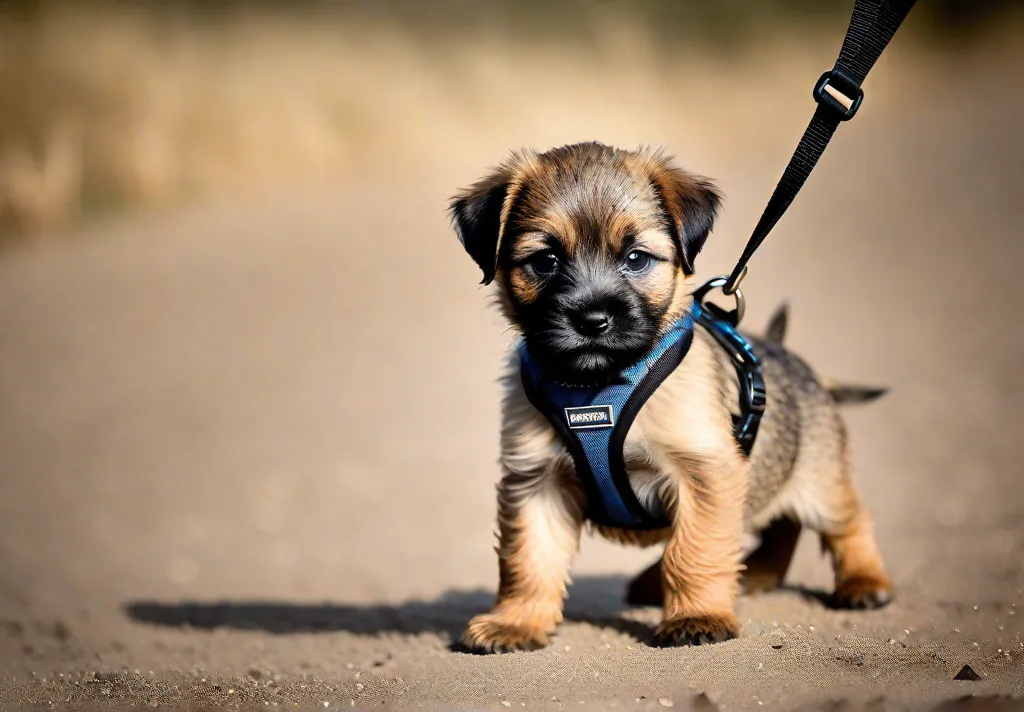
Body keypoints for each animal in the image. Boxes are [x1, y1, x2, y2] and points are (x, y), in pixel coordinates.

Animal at [446, 142, 888, 655]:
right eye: (545, 260)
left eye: (636, 258)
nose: (592, 319)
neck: (597, 388)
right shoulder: (537, 481)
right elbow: (528, 560)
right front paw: (517, 622)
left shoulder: (703, 473)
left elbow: (695, 550)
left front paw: (697, 616)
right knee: (782, 528)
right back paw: (746, 576)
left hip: (820, 483)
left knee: (849, 521)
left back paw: (862, 582)